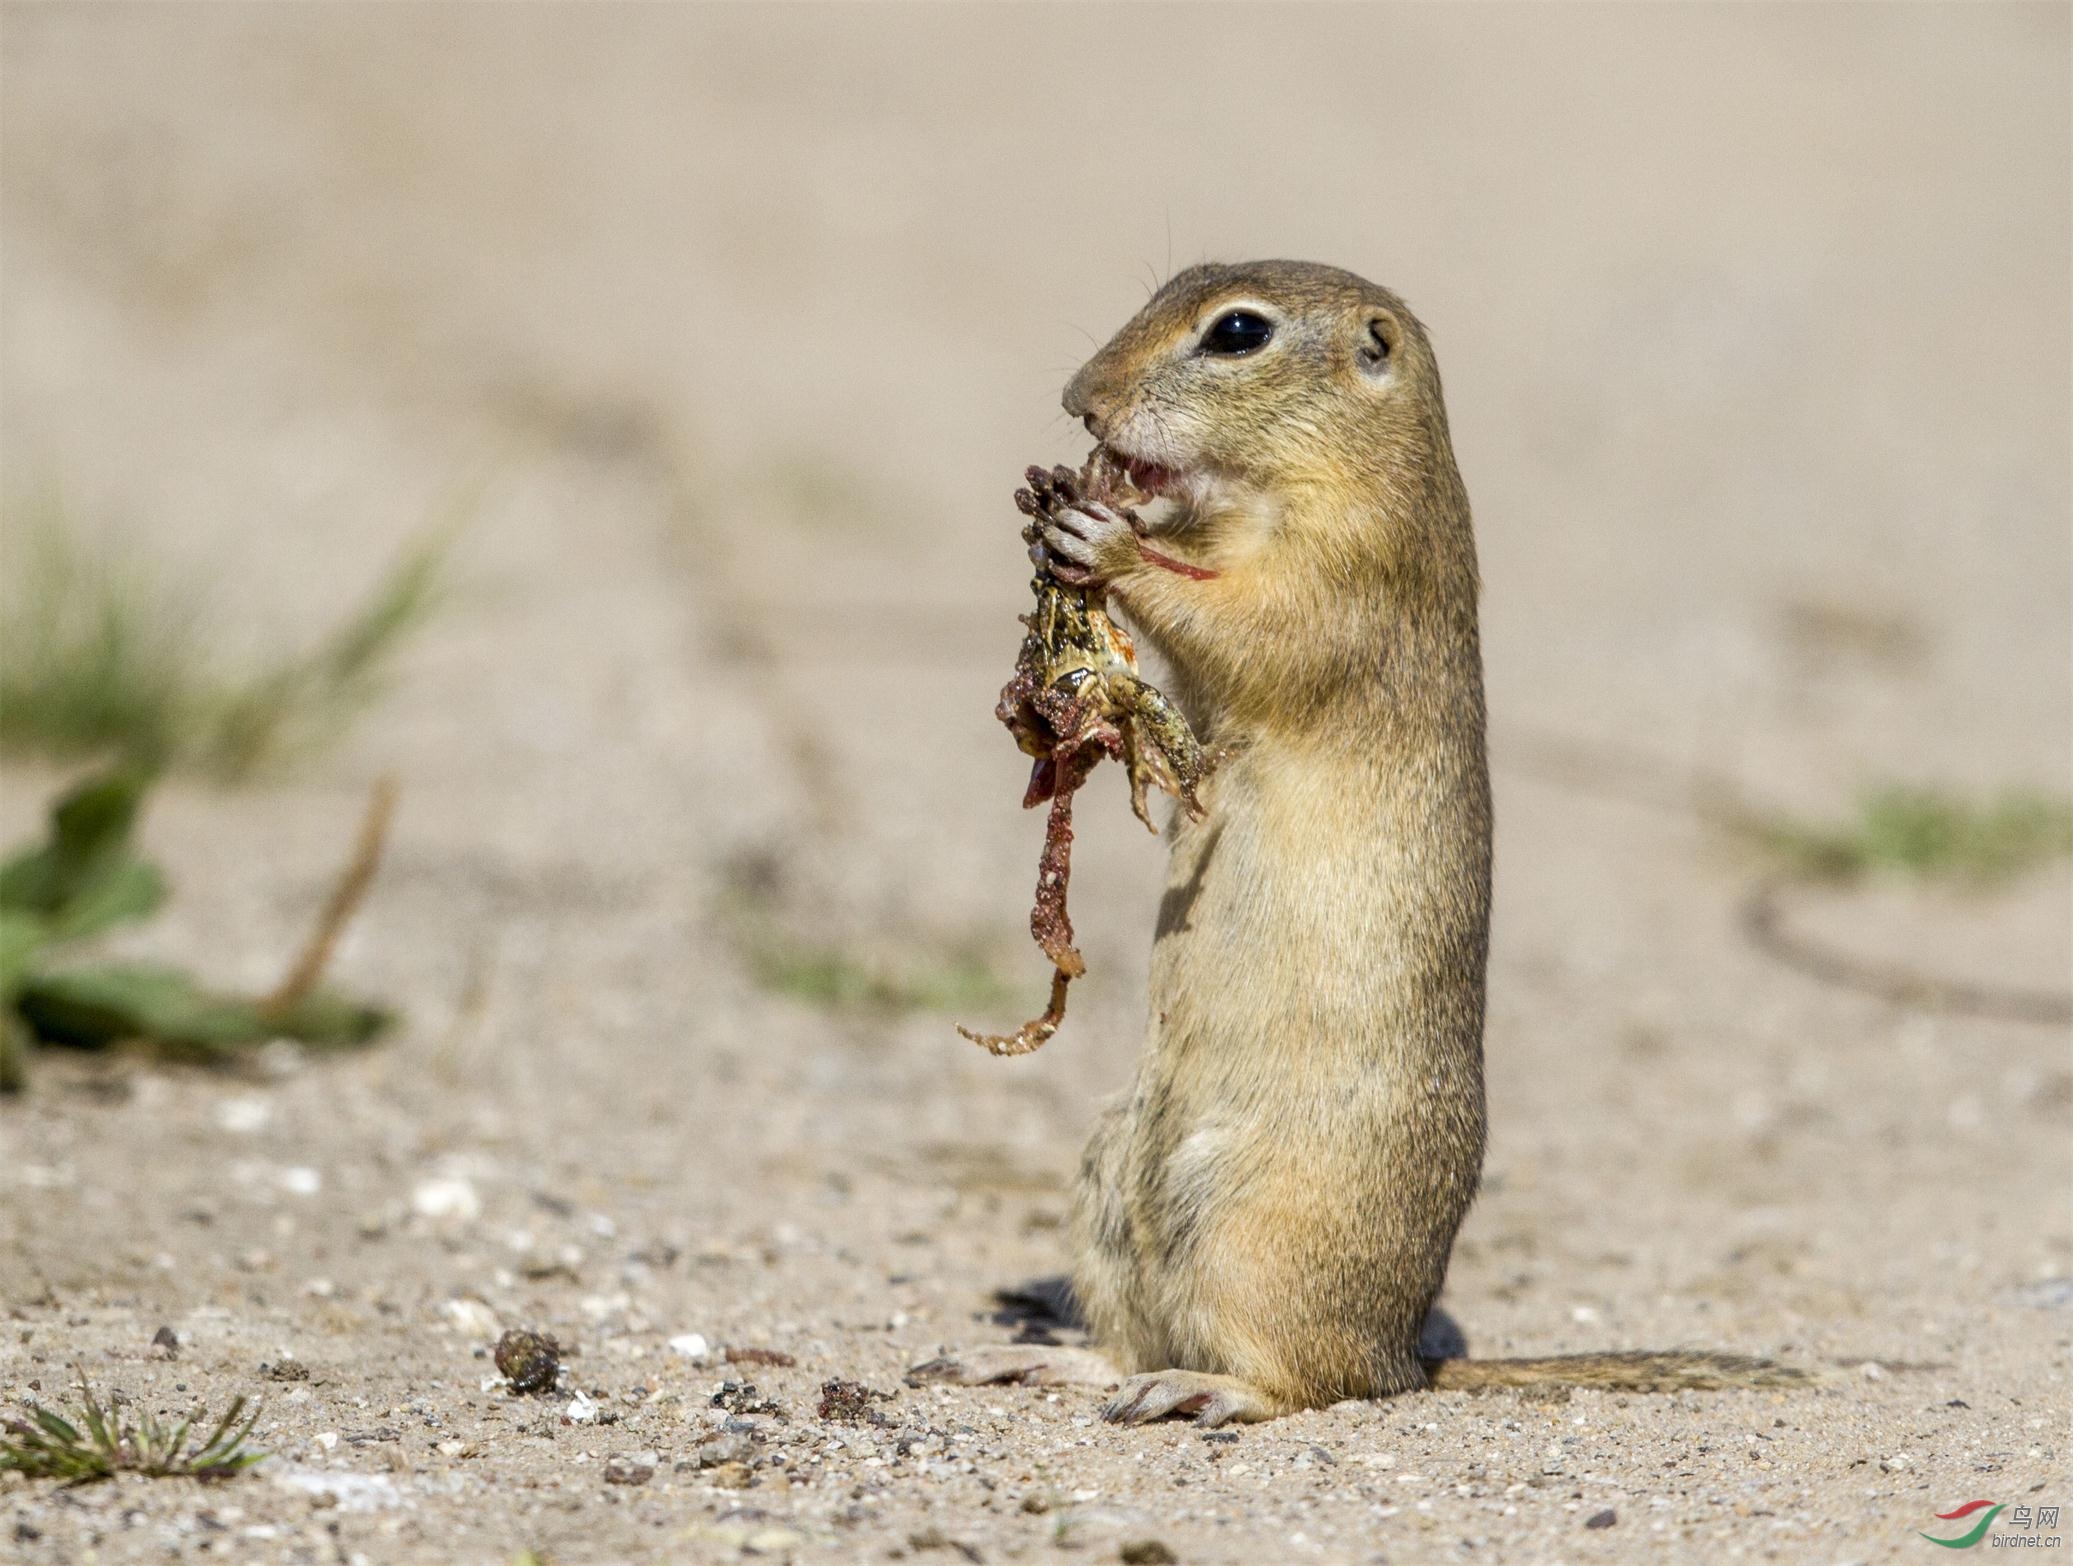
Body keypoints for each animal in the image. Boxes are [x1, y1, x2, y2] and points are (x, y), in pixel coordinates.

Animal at [916, 260, 1807, 1435]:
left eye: (1236, 332)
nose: (1082, 403)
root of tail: (1405, 1353)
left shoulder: (1347, 570)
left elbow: (1241, 623)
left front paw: (1099, 536)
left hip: (1262, 1239)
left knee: (1307, 1383)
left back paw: (1198, 1388)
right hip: (1106, 1187)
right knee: (1133, 1337)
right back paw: (1030, 1362)